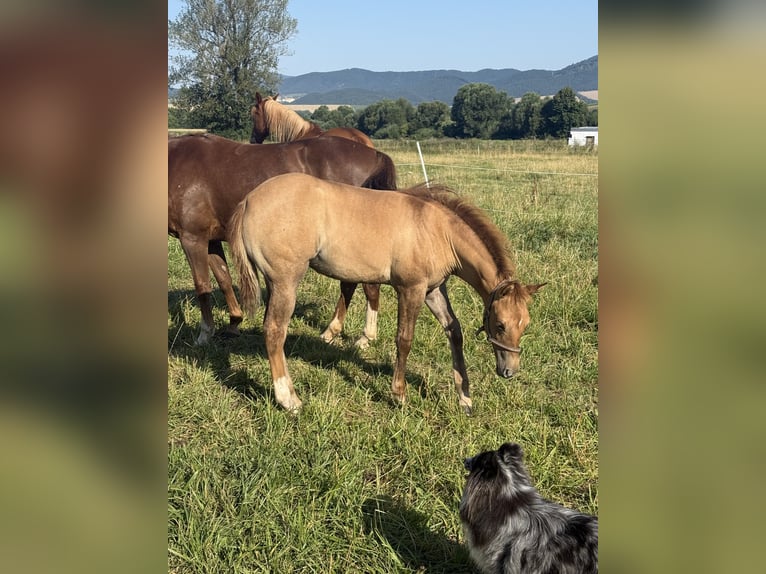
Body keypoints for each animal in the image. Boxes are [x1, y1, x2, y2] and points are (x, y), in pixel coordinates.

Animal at [168, 133, 397, 346]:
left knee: (363, 286)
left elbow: (202, 285)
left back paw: (363, 336)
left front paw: (204, 334)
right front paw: (234, 322)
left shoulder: (192, 238)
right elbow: (224, 278)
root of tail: (375, 155)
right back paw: (334, 331)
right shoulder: (211, 240)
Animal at [228, 172, 545, 414]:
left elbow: (454, 332)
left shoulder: (433, 290)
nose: (509, 371)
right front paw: (400, 395)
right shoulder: (411, 289)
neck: (438, 231)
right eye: (500, 324)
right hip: (286, 281)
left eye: (525, 325)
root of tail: (248, 200)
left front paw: (464, 398)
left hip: (275, 283)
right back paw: (289, 399)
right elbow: (404, 340)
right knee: (274, 331)